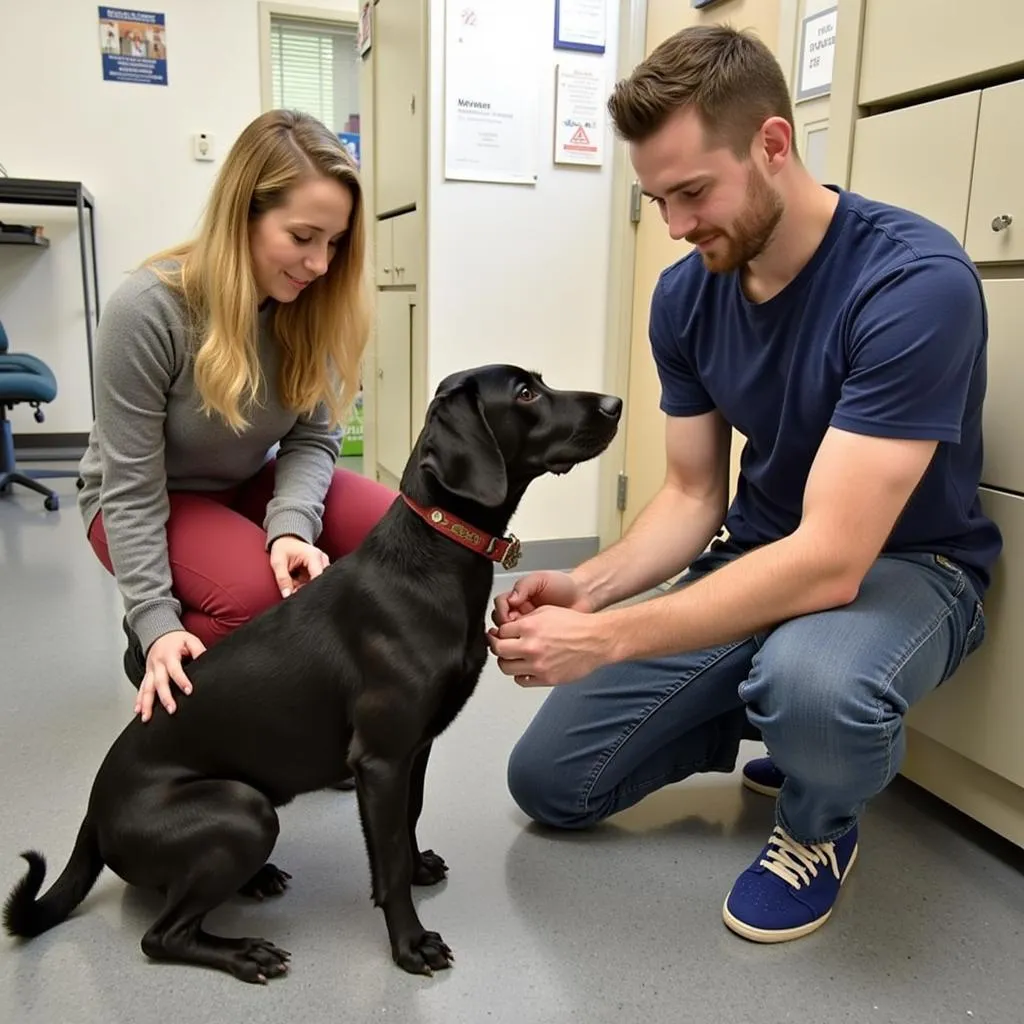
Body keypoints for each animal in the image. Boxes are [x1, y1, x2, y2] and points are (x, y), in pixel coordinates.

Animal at [4, 366, 618, 983]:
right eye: (526, 393)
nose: (615, 403)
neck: (434, 556)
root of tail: (92, 814)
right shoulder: (382, 760)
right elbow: (389, 863)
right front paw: (409, 943)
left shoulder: (414, 750)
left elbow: (408, 824)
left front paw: (418, 867)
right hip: (244, 811)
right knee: (159, 937)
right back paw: (245, 953)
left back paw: (257, 880)